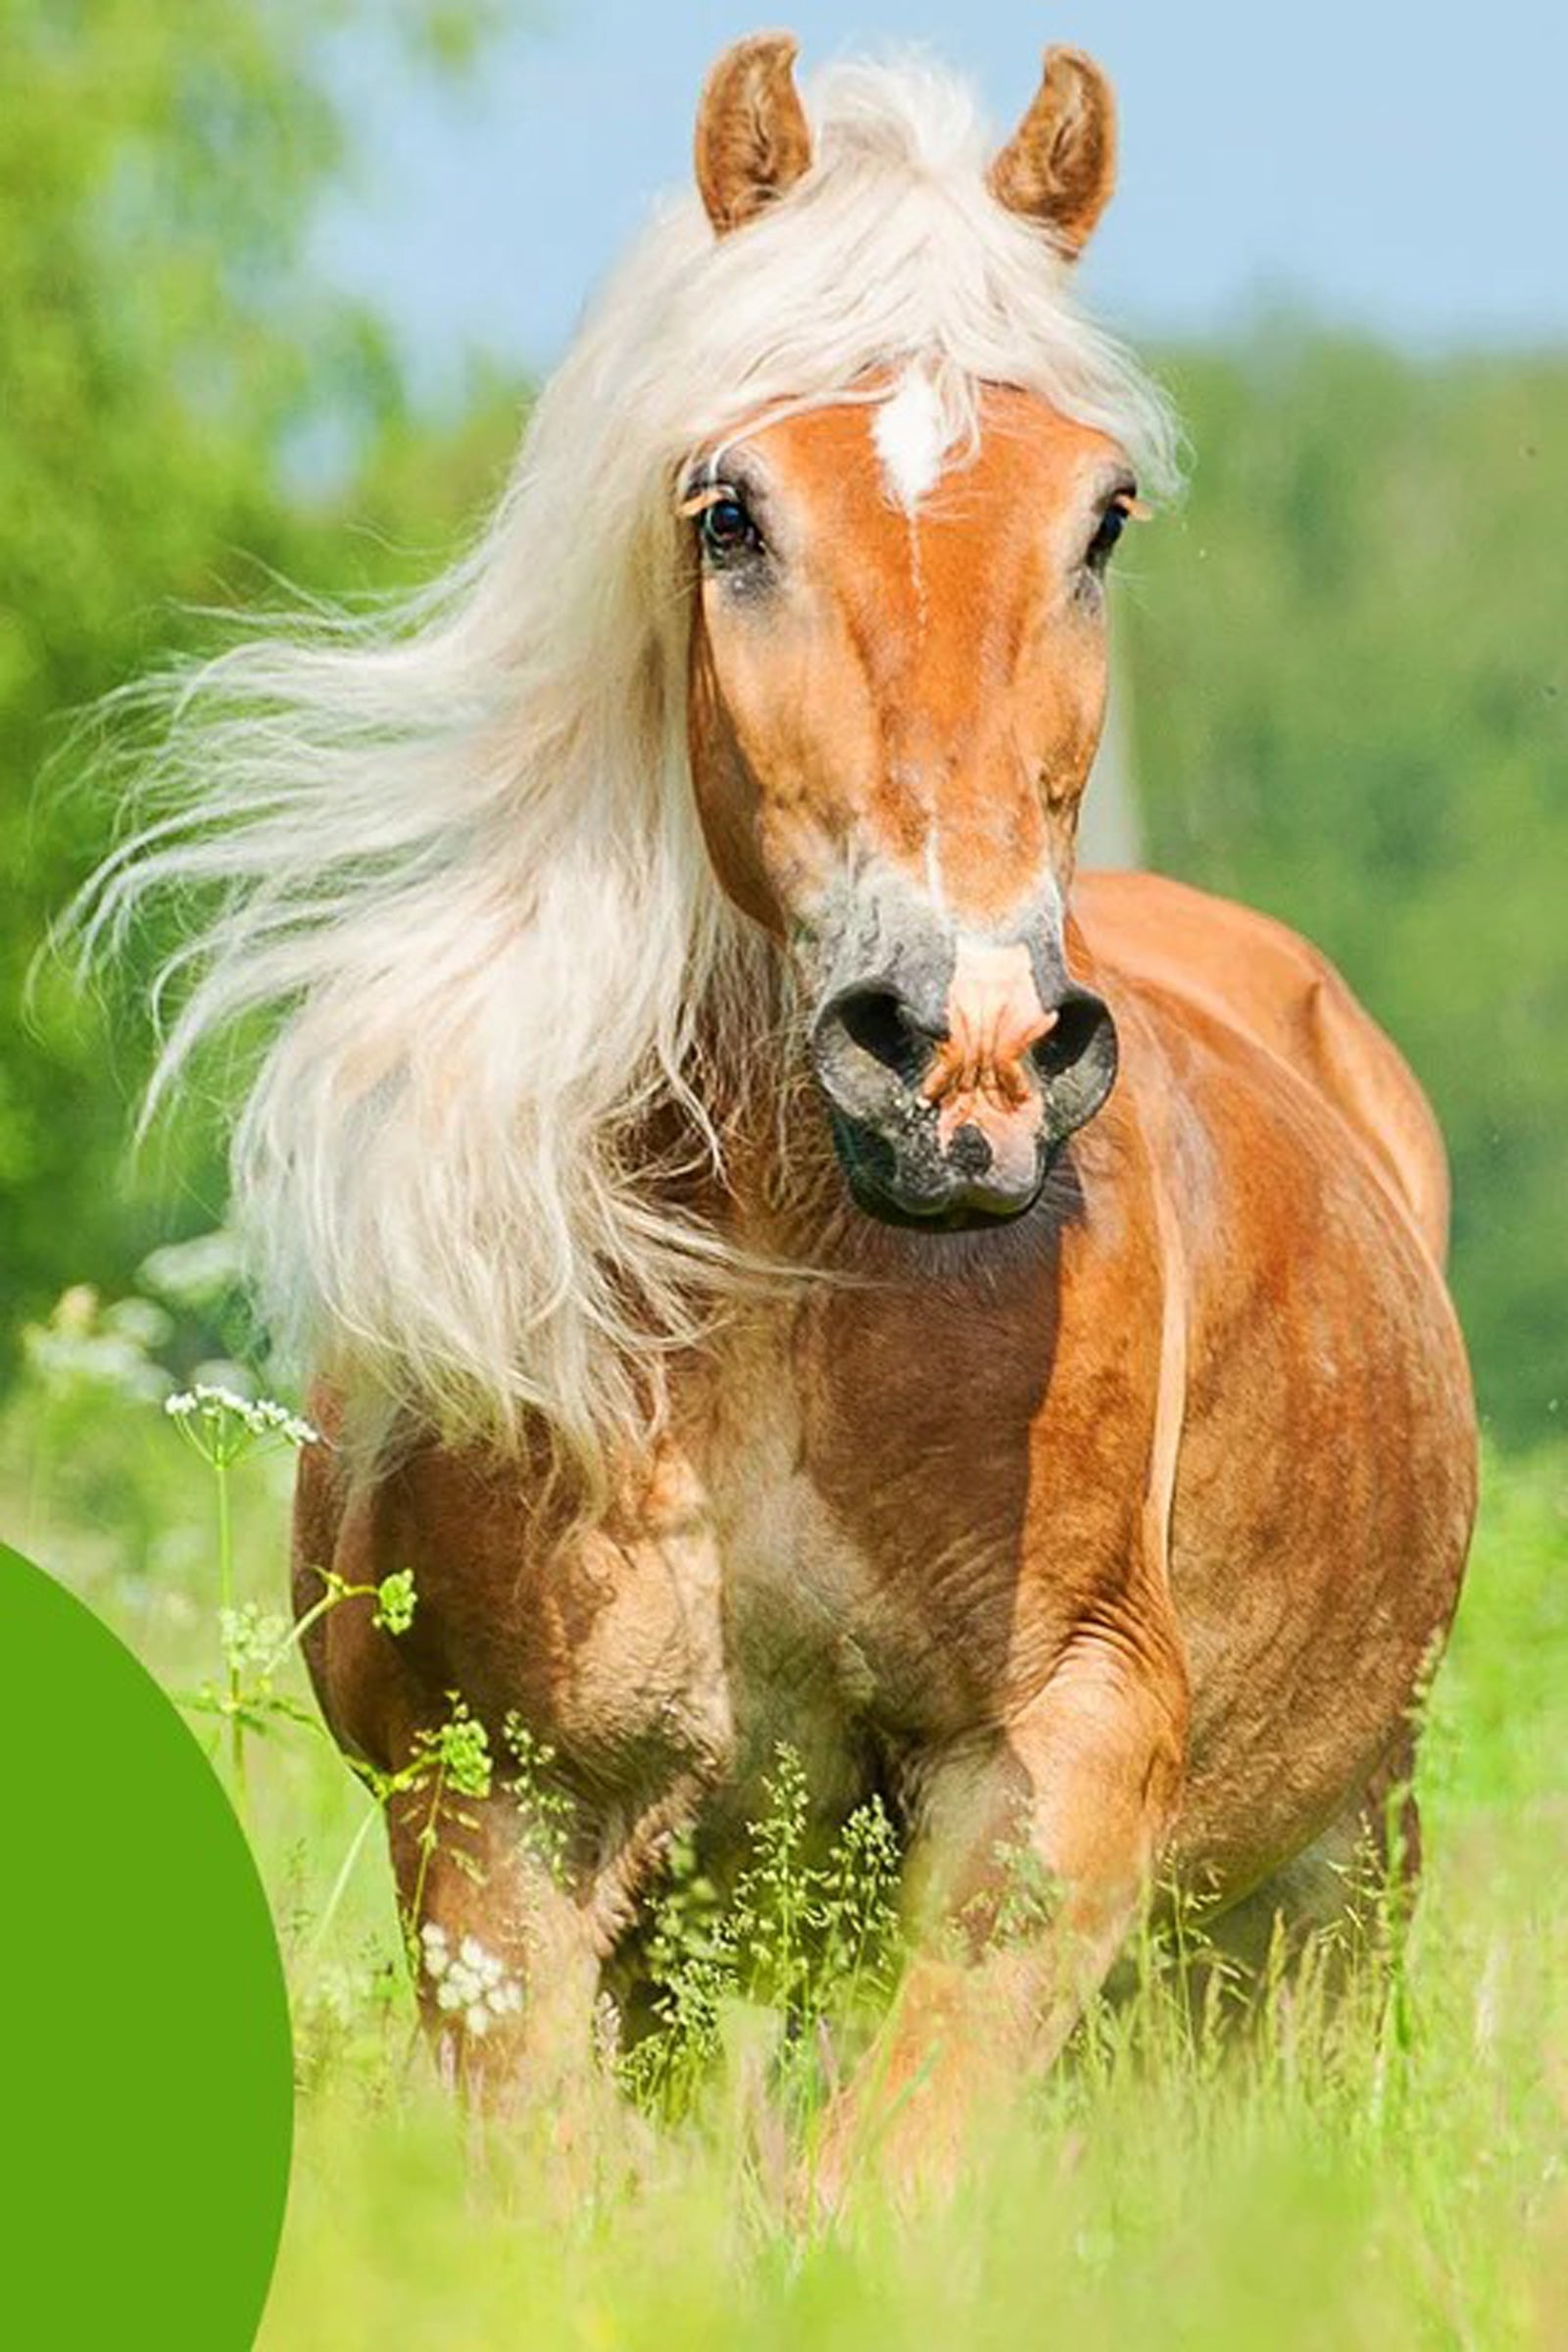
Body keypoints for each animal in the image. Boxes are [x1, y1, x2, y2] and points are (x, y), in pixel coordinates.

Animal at [91, 36, 1475, 2202]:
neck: (776, 1304)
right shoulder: (493, 1811)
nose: (966, 1062)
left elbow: (864, 2207)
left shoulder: (1058, 1766)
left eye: (1101, 516)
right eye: (730, 511)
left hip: (1328, 1889)